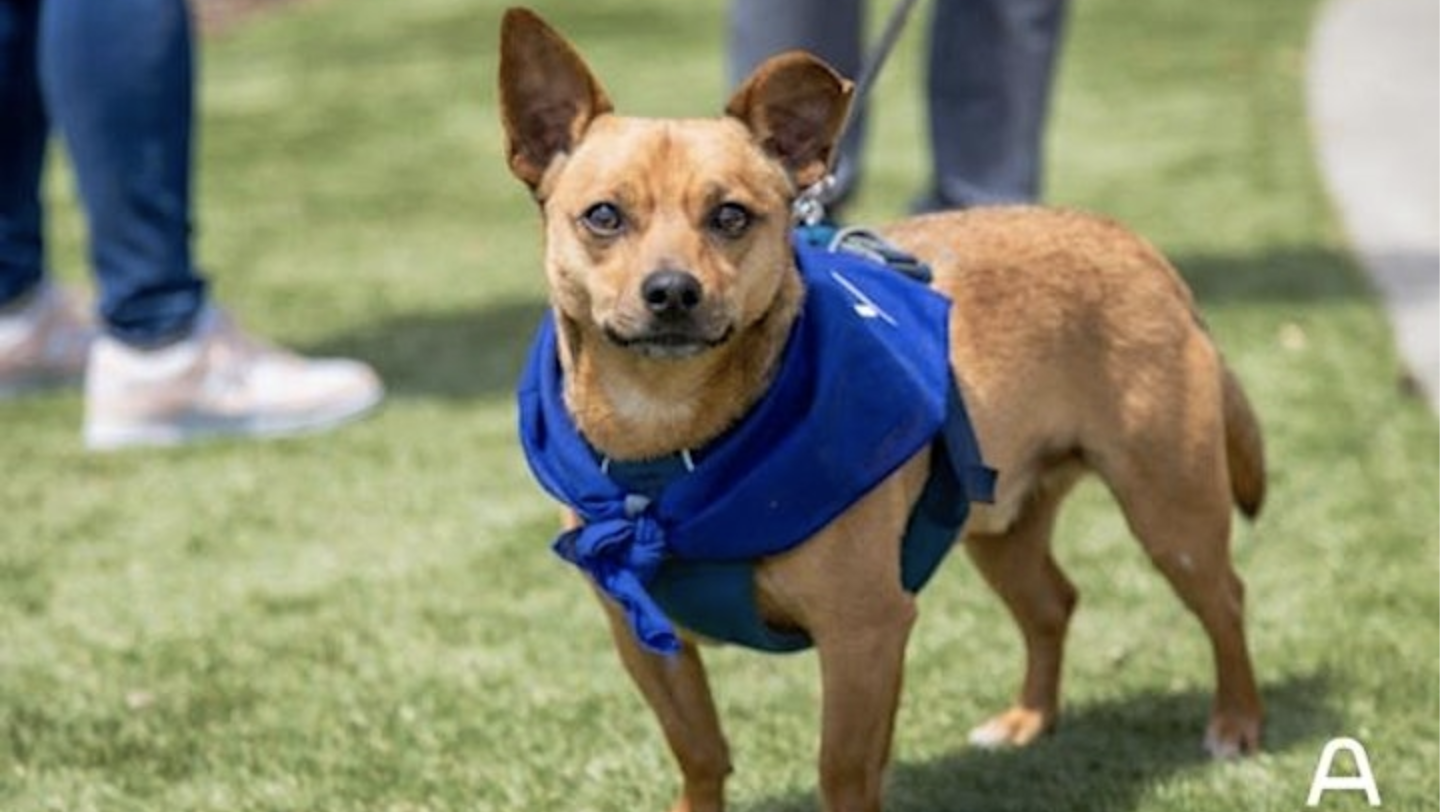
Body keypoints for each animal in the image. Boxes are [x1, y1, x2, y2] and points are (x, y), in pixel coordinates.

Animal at [501, 7, 1268, 812]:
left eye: (732, 217)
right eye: (604, 217)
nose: (673, 292)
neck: (668, 445)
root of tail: (1141, 250)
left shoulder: (864, 631)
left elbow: (843, 768)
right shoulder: (649, 640)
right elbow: (701, 754)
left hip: (1171, 513)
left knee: (1225, 599)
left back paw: (1236, 725)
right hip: (1001, 527)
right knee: (1053, 604)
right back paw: (1028, 720)